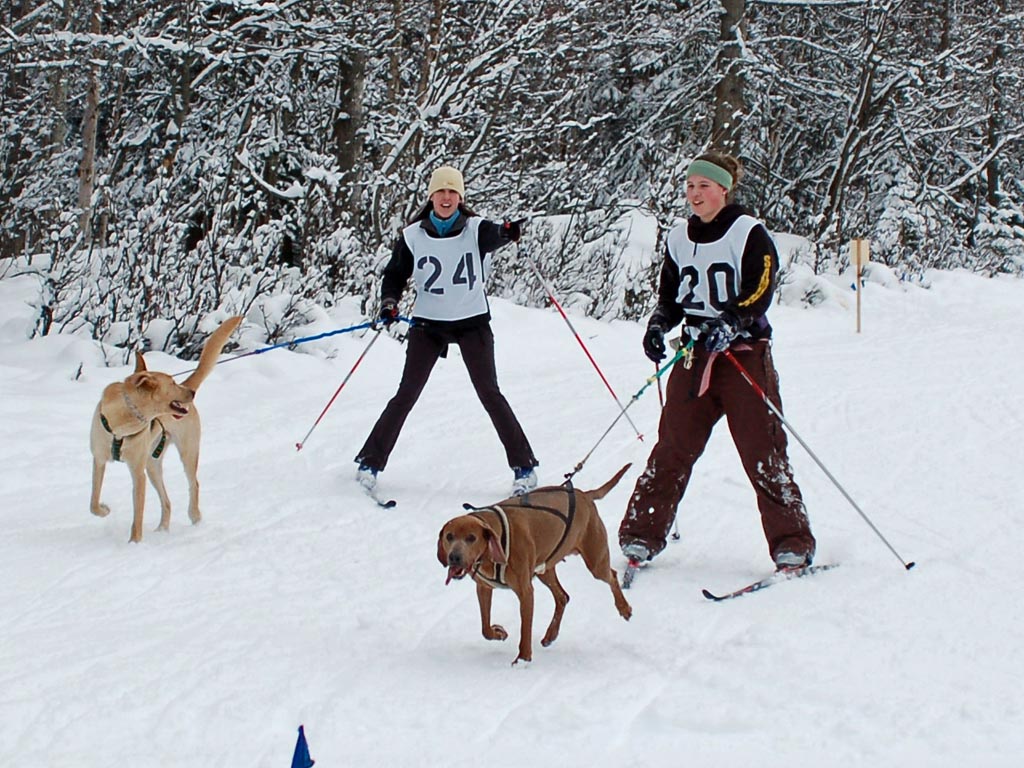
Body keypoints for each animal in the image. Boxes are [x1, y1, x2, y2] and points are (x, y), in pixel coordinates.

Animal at [86, 315, 241, 544]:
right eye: (173, 382)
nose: (191, 392)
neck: (123, 421)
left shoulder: (138, 473)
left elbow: (138, 517)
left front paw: (135, 543)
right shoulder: (99, 460)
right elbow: (93, 502)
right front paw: (103, 510)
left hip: (187, 453)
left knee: (194, 484)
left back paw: (195, 517)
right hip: (152, 465)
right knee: (167, 502)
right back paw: (162, 529)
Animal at [434, 466, 630, 663]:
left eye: (471, 538)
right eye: (449, 536)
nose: (454, 557)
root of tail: (584, 494)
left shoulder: (525, 592)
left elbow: (525, 630)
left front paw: (523, 659)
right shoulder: (483, 588)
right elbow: (485, 629)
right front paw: (499, 632)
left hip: (595, 561)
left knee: (612, 575)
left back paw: (624, 608)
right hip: (545, 567)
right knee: (562, 597)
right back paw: (551, 634)